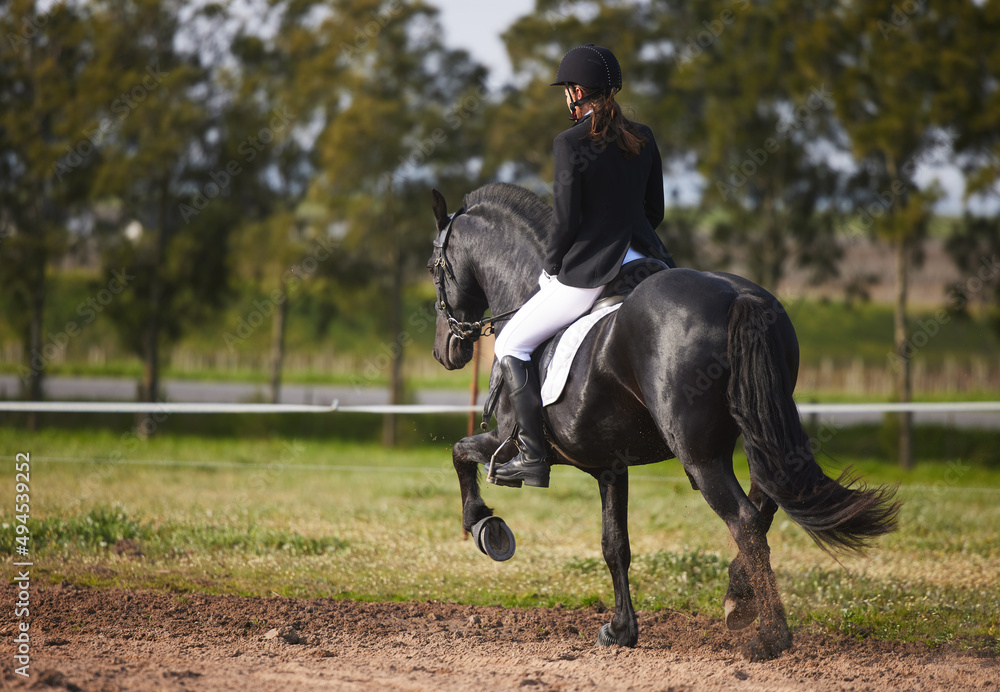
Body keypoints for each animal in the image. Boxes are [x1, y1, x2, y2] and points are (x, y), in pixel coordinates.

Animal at [428, 182, 900, 660]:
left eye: (434, 268)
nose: (444, 351)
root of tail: (738, 296)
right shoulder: (609, 466)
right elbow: (615, 545)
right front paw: (621, 630)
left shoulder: (513, 441)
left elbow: (460, 453)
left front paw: (485, 526)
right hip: (759, 428)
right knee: (769, 499)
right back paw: (739, 601)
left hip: (699, 453)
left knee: (745, 519)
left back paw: (770, 636)